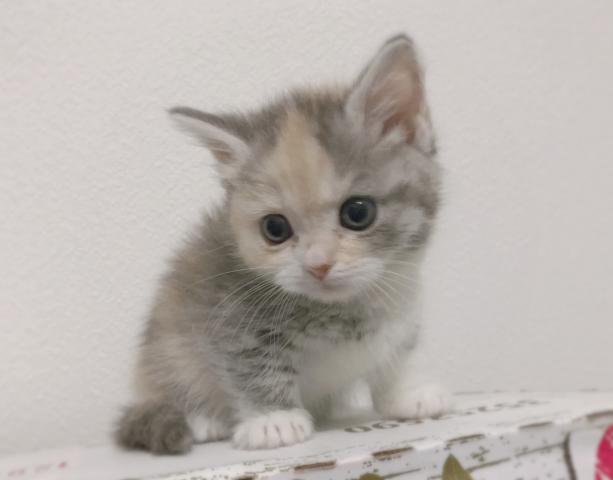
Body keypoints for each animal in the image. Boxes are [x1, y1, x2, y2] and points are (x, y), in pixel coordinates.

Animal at [116, 34, 451, 454]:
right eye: (275, 228)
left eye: (358, 212)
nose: (318, 264)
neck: (344, 311)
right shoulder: (226, 314)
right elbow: (248, 365)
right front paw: (272, 419)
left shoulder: (401, 304)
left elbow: (399, 350)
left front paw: (408, 393)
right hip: (166, 343)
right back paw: (204, 419)